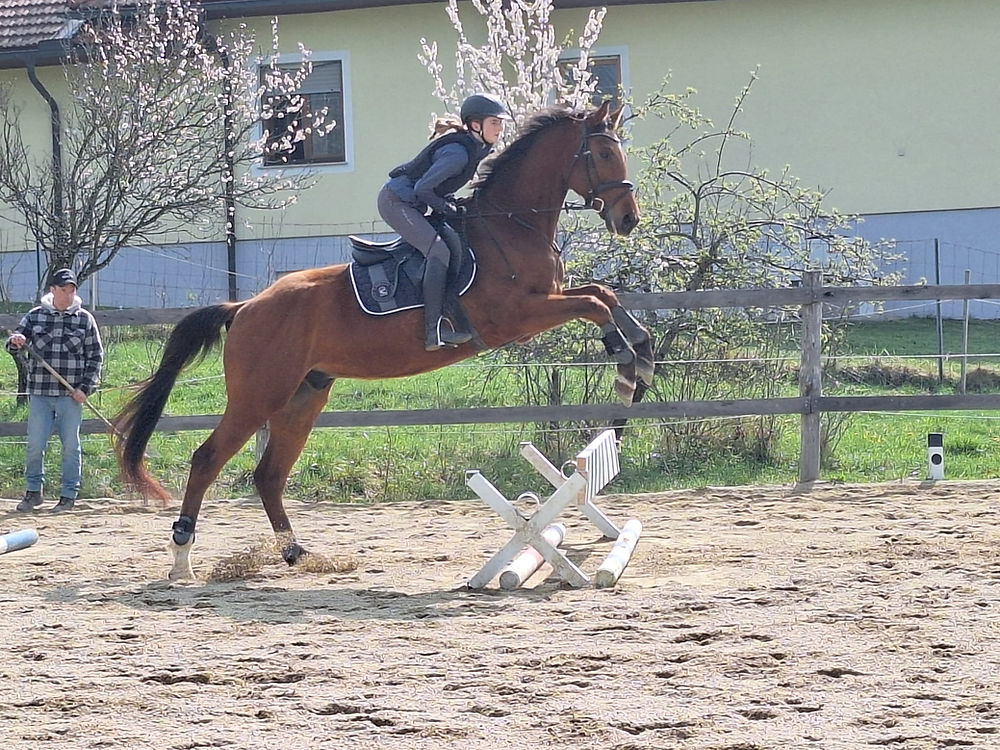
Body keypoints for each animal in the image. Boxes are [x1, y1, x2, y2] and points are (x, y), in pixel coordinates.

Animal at [113, 99, 654, 580]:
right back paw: (182, 556)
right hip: (257, 396)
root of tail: (243, 307)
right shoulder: (517, 316)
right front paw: (623, 364)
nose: (628, 219)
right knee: (207, 460)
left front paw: (641, 360)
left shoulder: (548, 298)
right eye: (604, 154)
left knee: (269, 474)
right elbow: (595, 304)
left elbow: (602, 294)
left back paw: (297, 554)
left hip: (302, 397)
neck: (508, 224)